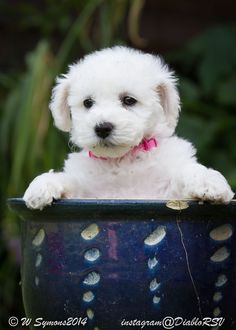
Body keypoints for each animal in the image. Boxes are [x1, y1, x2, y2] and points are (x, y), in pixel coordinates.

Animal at [23, 46, 233, 209]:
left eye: (129, 100)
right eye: (88, 103)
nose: (102, 128)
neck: (122, 161)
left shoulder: (167, 194)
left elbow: (187, 172)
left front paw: (209, 181)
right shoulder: (87, 193)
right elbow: (69, 180)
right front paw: (42, 185)